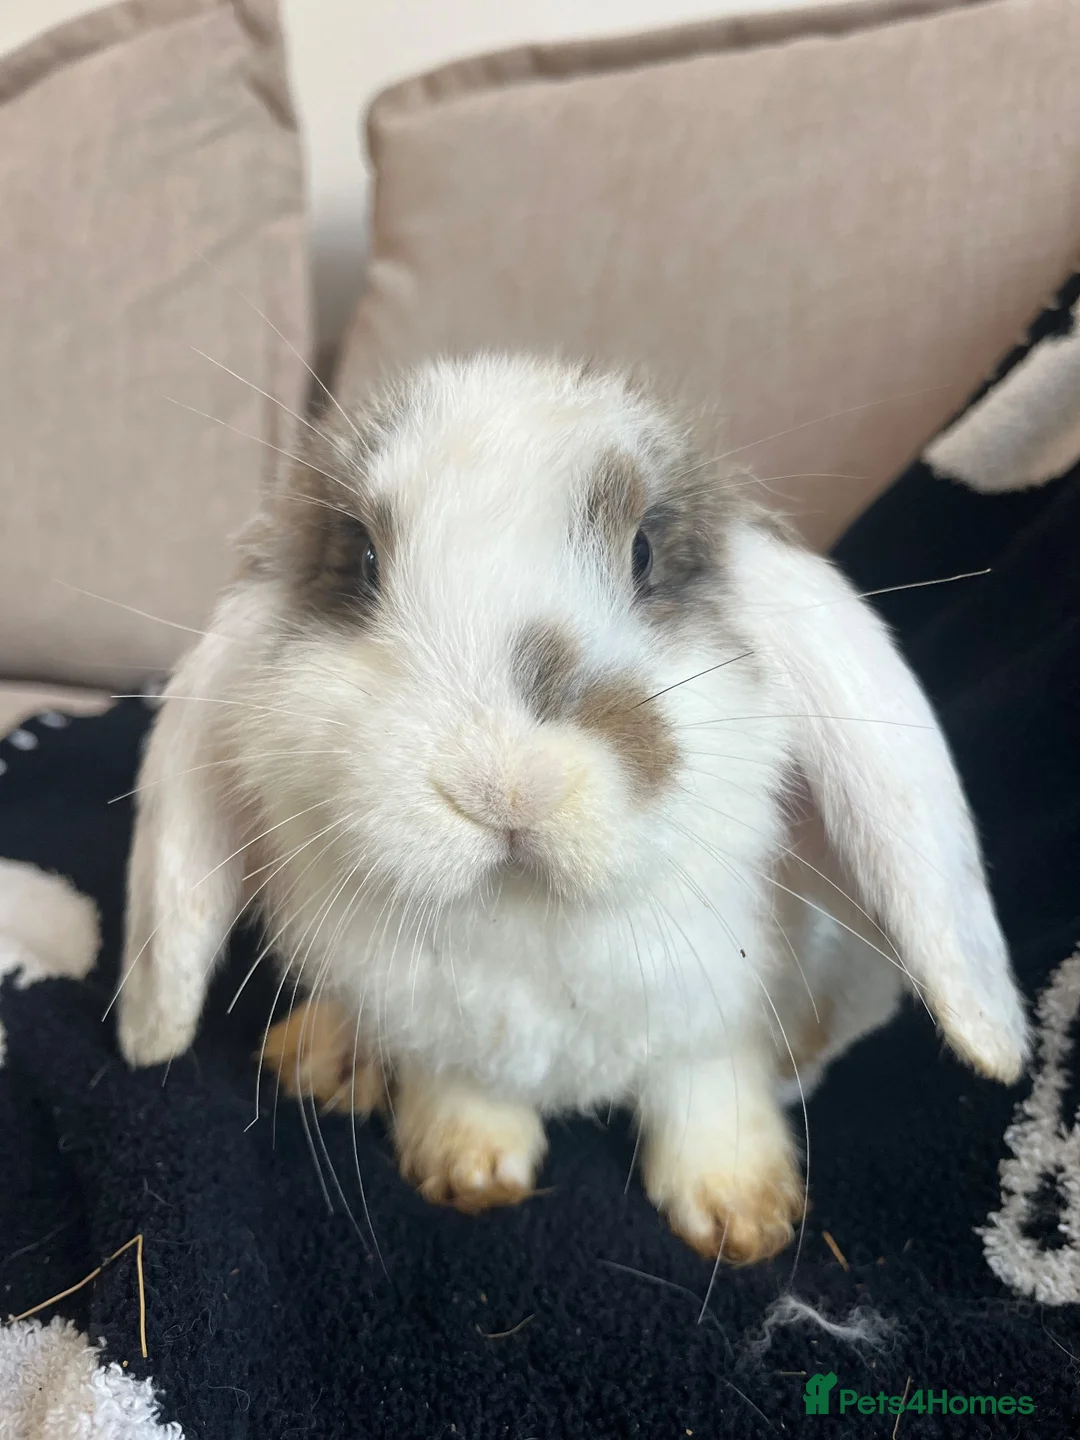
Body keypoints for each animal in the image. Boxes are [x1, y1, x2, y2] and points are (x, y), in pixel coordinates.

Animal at [117, 352, 1030, 1263]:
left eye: (644, 551)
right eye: (363, 560)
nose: (505, 781)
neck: (532, 924)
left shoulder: (713, 1013)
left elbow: (709, 1085)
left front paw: (743, 1214)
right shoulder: (445, 1028)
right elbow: (464, 1085)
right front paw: (468, 1168)